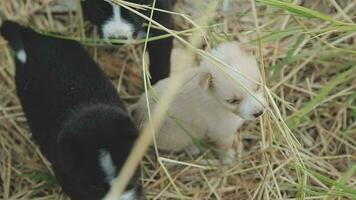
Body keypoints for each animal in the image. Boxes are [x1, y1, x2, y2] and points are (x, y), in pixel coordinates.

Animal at [132, 42, 266, 164]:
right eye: (233, 101)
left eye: (258, 86)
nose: (259, 113)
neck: (214, 98)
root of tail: (138, 115)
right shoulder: (222, 133)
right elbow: (225, 146)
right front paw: (228, 158)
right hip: (179, 137)